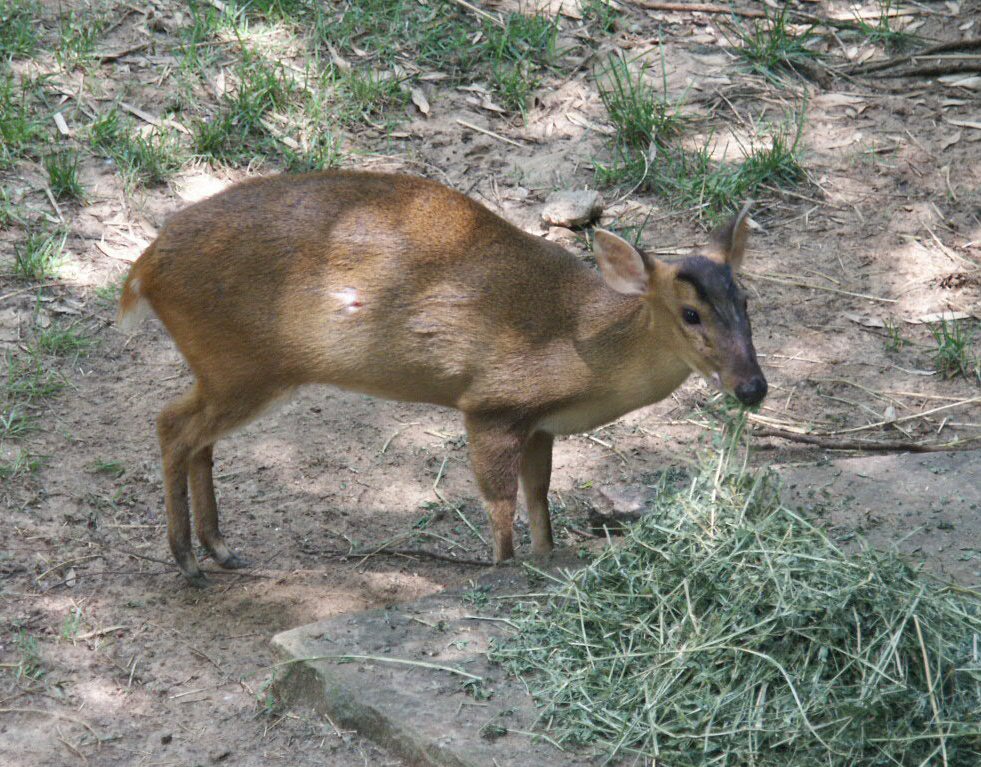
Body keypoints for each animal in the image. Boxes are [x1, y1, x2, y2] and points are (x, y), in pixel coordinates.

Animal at [118, 171, 764, 584]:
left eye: (745, 300)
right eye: (690, 313)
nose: (752, 387)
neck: (582, 346)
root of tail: (143, 268)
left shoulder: (540, 425)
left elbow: (539, 496)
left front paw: (548, 557)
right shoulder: (492, 403)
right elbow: (499, 500)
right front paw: (504, 566)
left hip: (224, 370)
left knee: (196, 439)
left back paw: (221, 550)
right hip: (242, 365)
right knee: (172, 426)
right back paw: (188, 562)